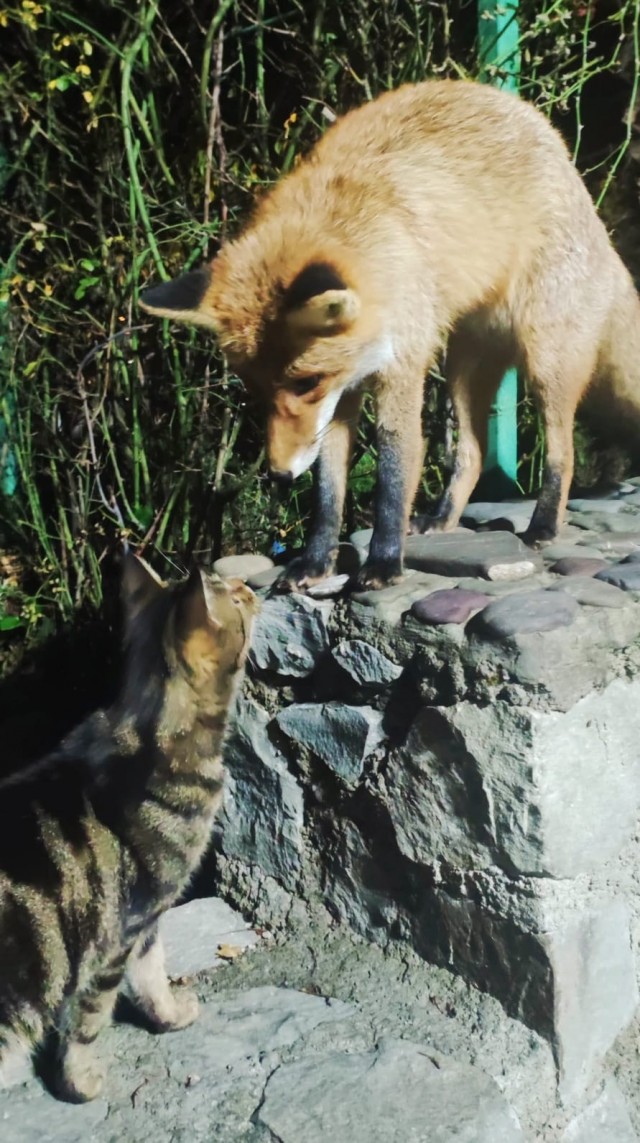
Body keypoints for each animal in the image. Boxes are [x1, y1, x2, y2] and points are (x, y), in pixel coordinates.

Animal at [140, 78, 640, 591]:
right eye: (255, 389)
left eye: (305, 382)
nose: (278, 475)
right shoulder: (342, 397)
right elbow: (327, 490)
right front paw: (316, 562)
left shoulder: (399, 371)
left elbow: (393, 474)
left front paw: (383, 561)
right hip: (462, 369)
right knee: (473, 452)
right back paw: (442, 518)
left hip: (545, 362)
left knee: (563, 449)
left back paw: (542, 524)